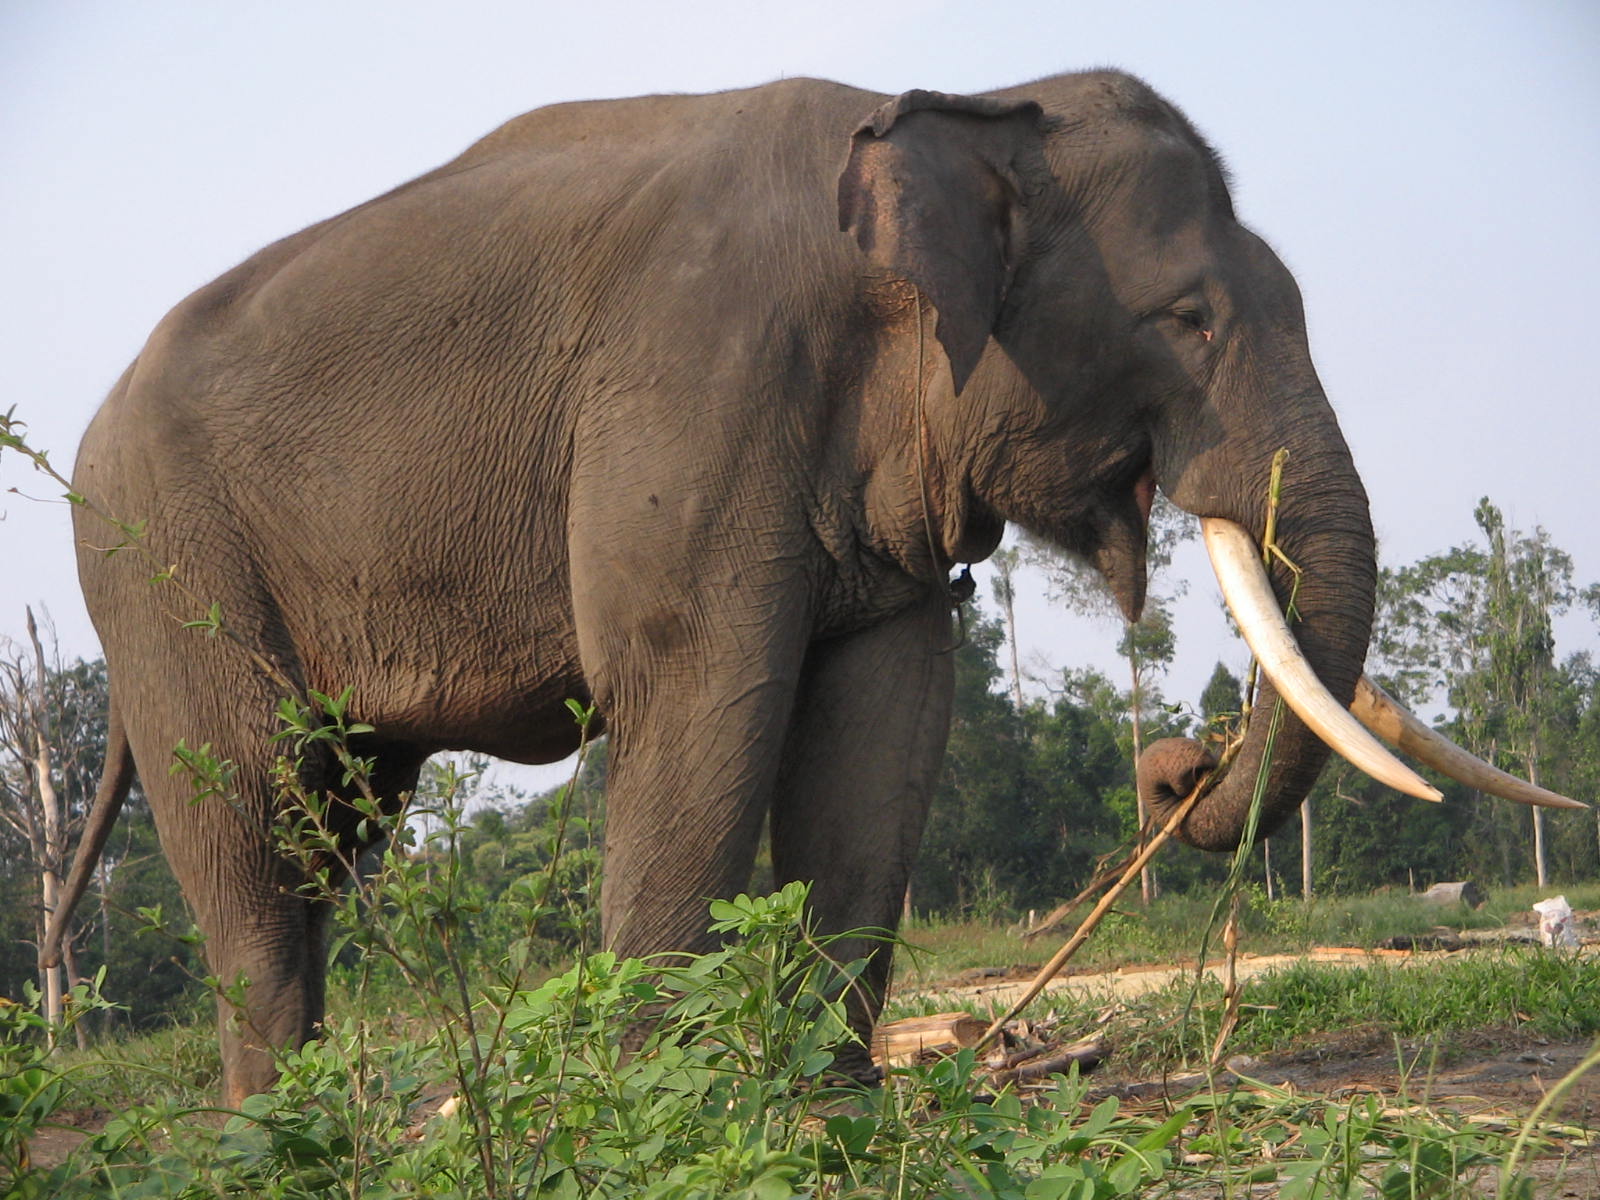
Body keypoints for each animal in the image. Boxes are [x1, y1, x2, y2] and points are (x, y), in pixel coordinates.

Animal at [40, 70, 1561, 1107]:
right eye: (1187, 318)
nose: (1176, 771)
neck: (947, 116)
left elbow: (886, 724)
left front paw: (831, 1105)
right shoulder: (690, 389)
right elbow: (697, 697)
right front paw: (660, 1104)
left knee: (337, 823)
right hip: (162, 562)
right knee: (257, 819)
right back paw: (275, 1133)